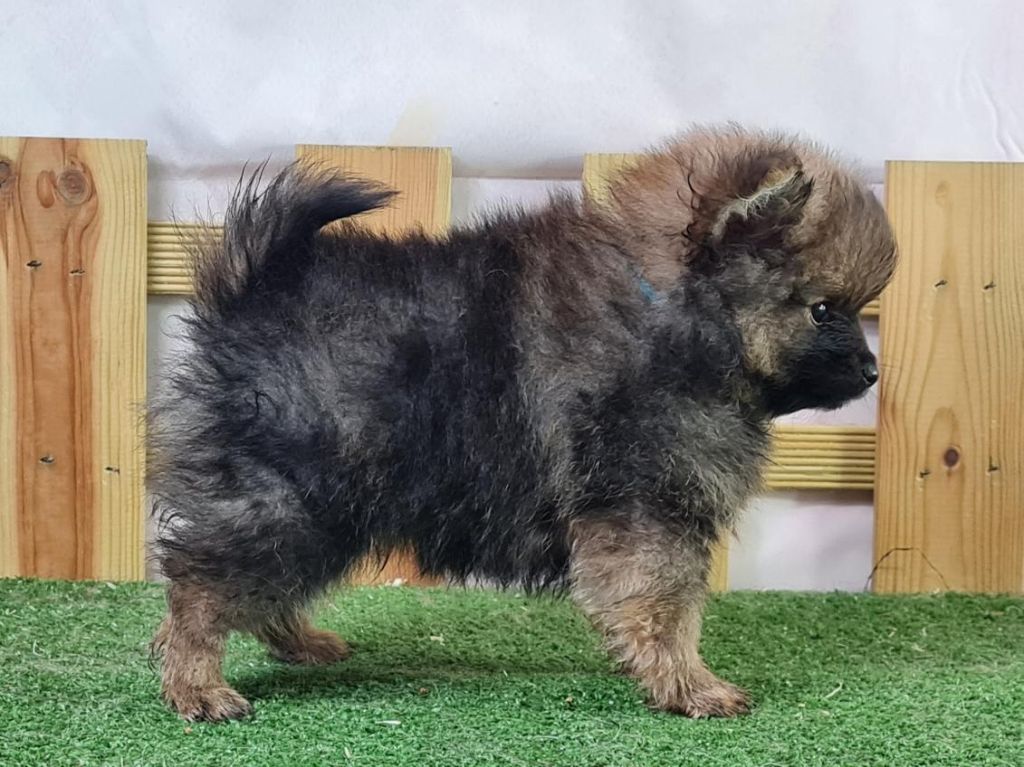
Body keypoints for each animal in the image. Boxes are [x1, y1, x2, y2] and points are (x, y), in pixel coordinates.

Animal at [149, 126, 896, 722]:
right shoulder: (647, 510)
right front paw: (691, 684)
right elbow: (666, 608)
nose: (870, 372)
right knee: (199, 586)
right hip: (290, 499)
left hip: (322, 511)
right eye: (824, 310)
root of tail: (254, 293)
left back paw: (300, 643)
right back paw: (198, 686)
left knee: (256, 588)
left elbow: (669, 606)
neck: (675, 311)